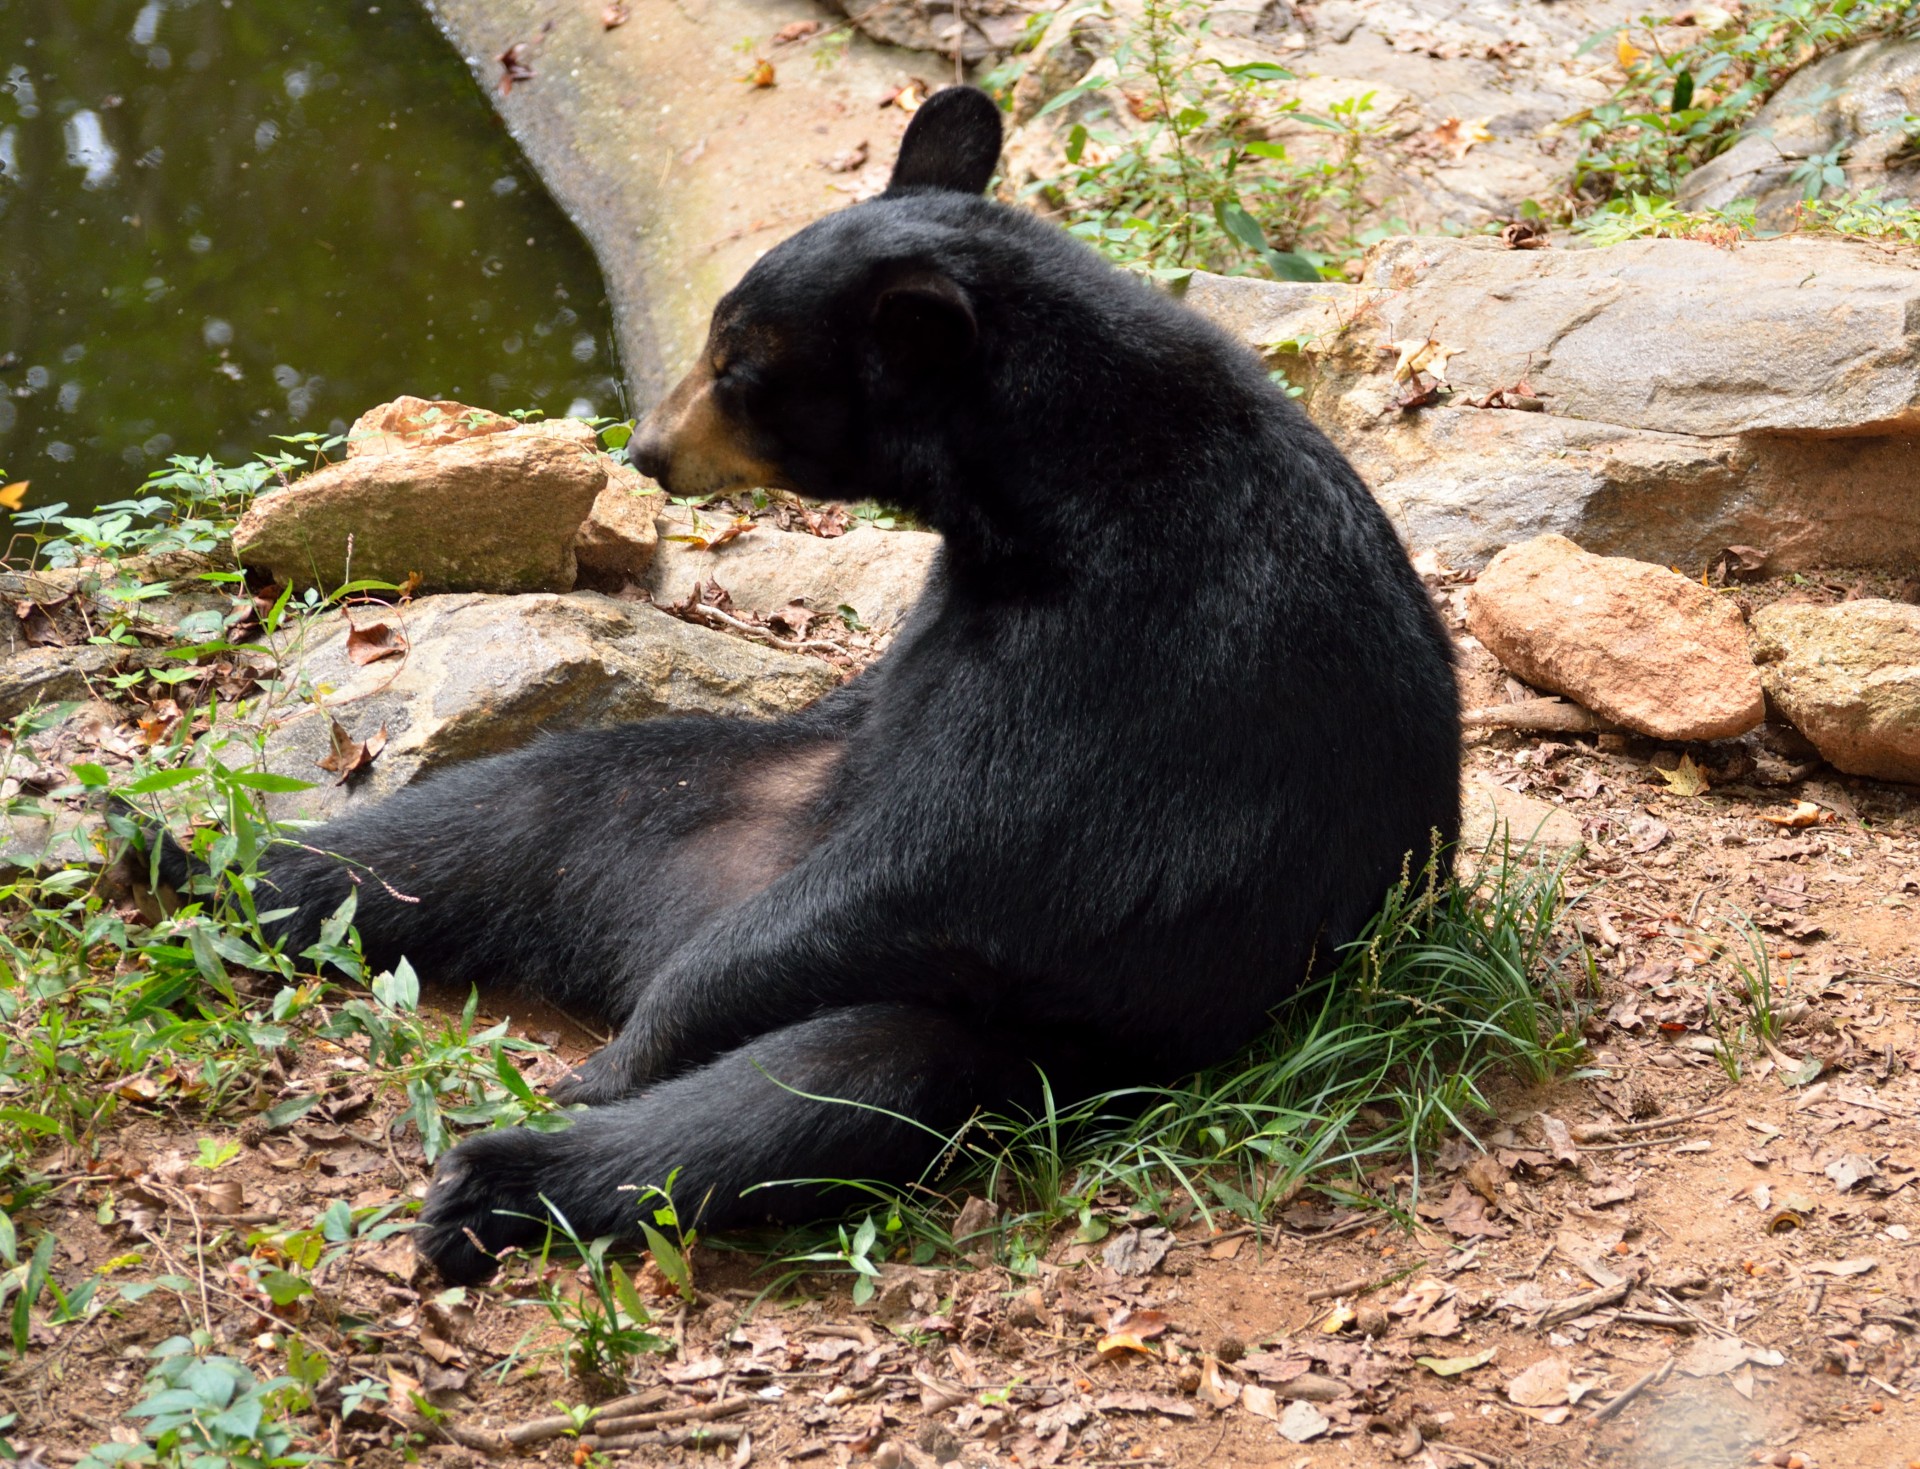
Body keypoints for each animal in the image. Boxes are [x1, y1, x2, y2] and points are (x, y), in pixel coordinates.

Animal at [202, 88, 1451, 1282]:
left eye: (740, 371)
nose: (646, 450)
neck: (1041, 499)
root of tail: (630, 937)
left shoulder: (1146, 652)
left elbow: (973, 852)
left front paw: (628, 1058)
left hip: (1029, 1022)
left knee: (810, 1090)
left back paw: (518, 1161)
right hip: (680, 806)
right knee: (503, 815)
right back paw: (198, 864)